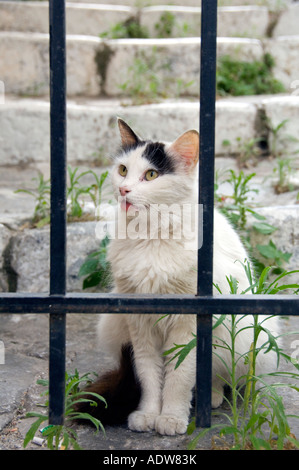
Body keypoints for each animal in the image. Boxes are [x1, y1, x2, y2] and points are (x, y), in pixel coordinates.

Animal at [77, 119, 278, 436]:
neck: (150, 236)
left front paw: (171, 418)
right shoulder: (139, 325)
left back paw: (212, 398)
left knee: (220, 376)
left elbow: (179, 376)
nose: (123, 190)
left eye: (151, 175)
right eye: (122, 169)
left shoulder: (188, 323)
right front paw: (148, 415)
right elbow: (149, 375)